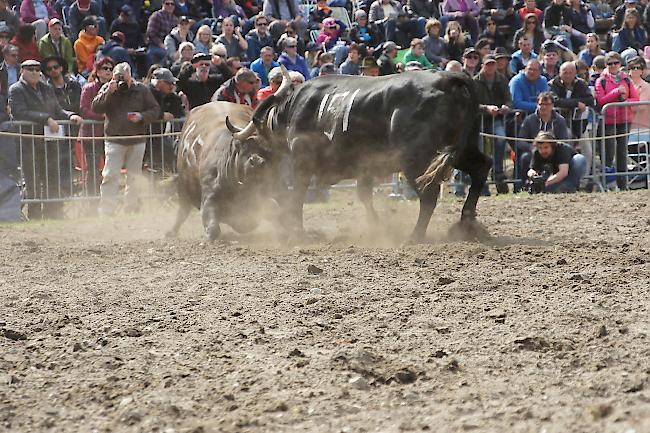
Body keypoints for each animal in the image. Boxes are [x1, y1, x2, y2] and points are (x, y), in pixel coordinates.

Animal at [230, 69, 488, 241]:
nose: (258, 159)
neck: (294, 110)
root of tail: (449, 79)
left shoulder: (302, 162)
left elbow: (297, 197)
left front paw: (297, 232)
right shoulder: (365, 167)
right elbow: (364, 195)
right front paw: (376, 227)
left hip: (416, 159)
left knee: (429, 194)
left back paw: (416, 235)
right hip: (460, 149)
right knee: (482, 167)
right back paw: (466, 222)